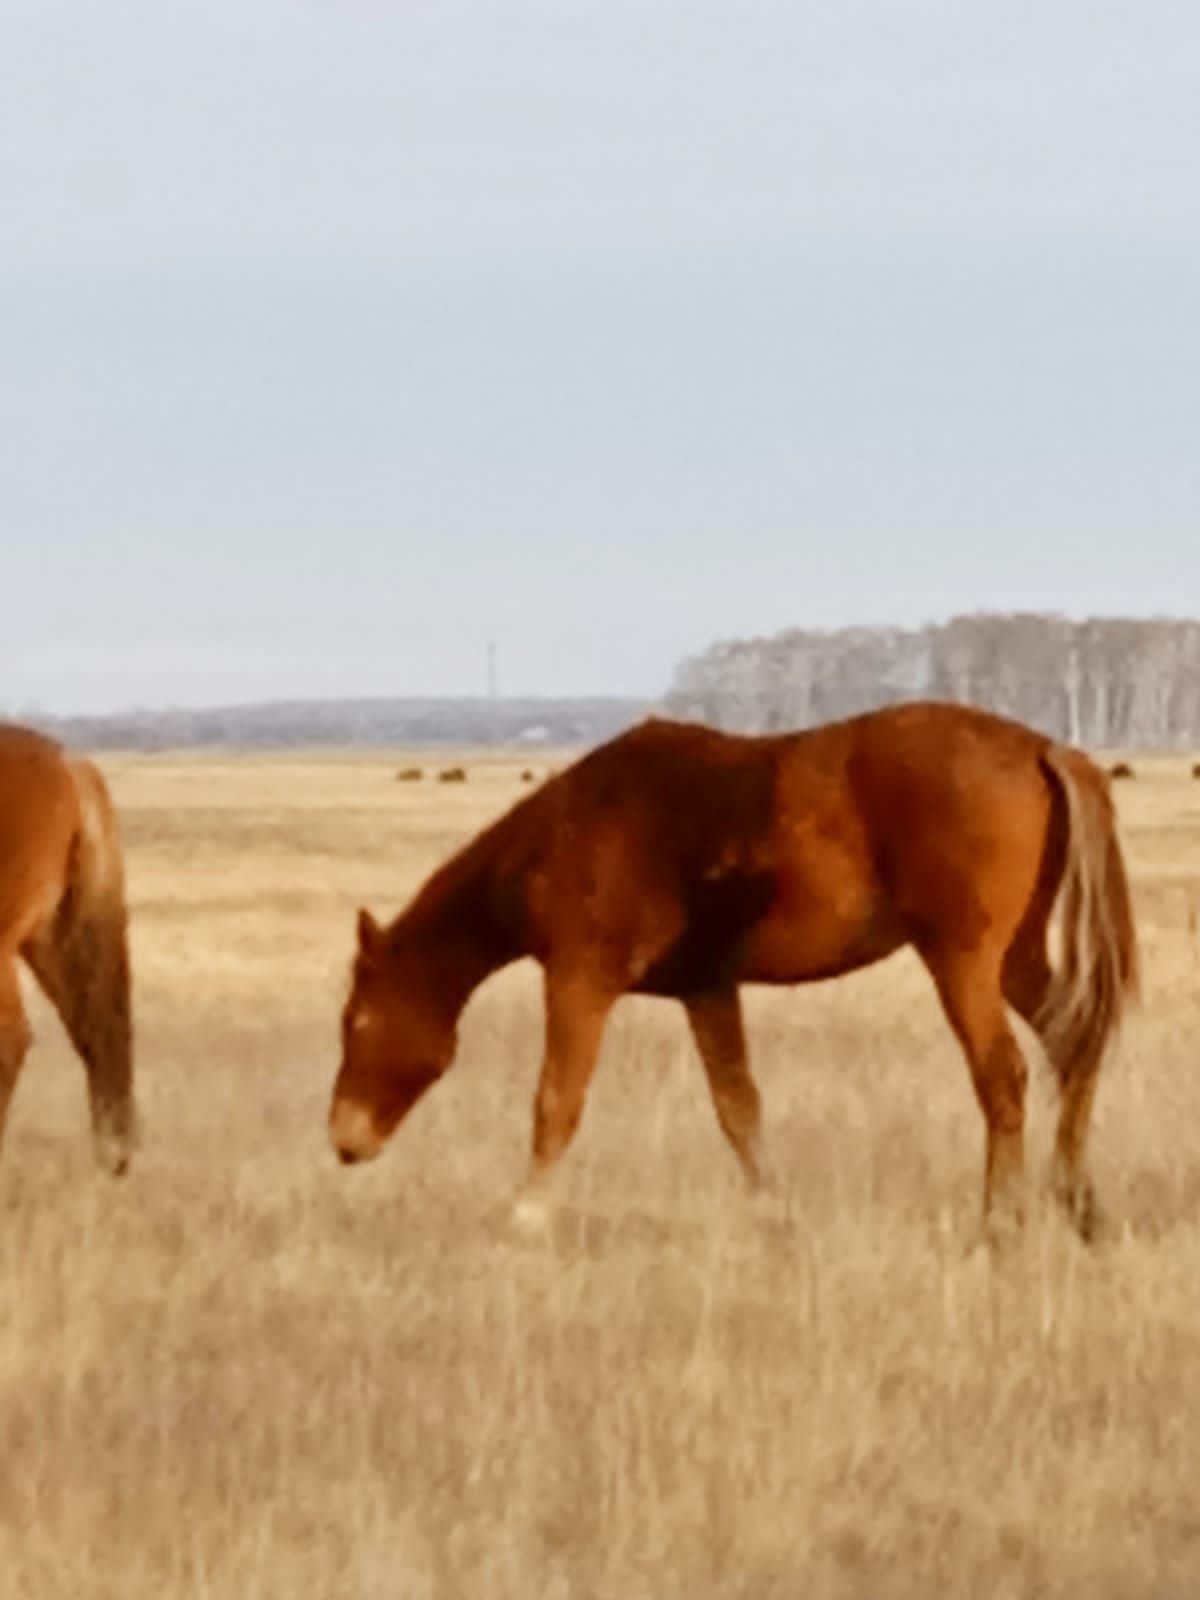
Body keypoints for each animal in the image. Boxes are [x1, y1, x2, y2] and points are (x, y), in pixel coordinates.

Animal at [326, 700, 1139, 1235]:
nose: (343, 1140)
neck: (571, 832)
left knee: (1004, 1076)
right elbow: (739, 1107)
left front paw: (525, 1216)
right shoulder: (708, 990)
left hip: (964, 962)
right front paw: (772, 1212)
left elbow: (556, 1099)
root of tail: (1041, 747)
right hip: (1016, 960)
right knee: (1074, 1050)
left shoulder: (581, 982)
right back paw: (1079, 1203)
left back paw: (1000, 1221)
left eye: (357, 1021)